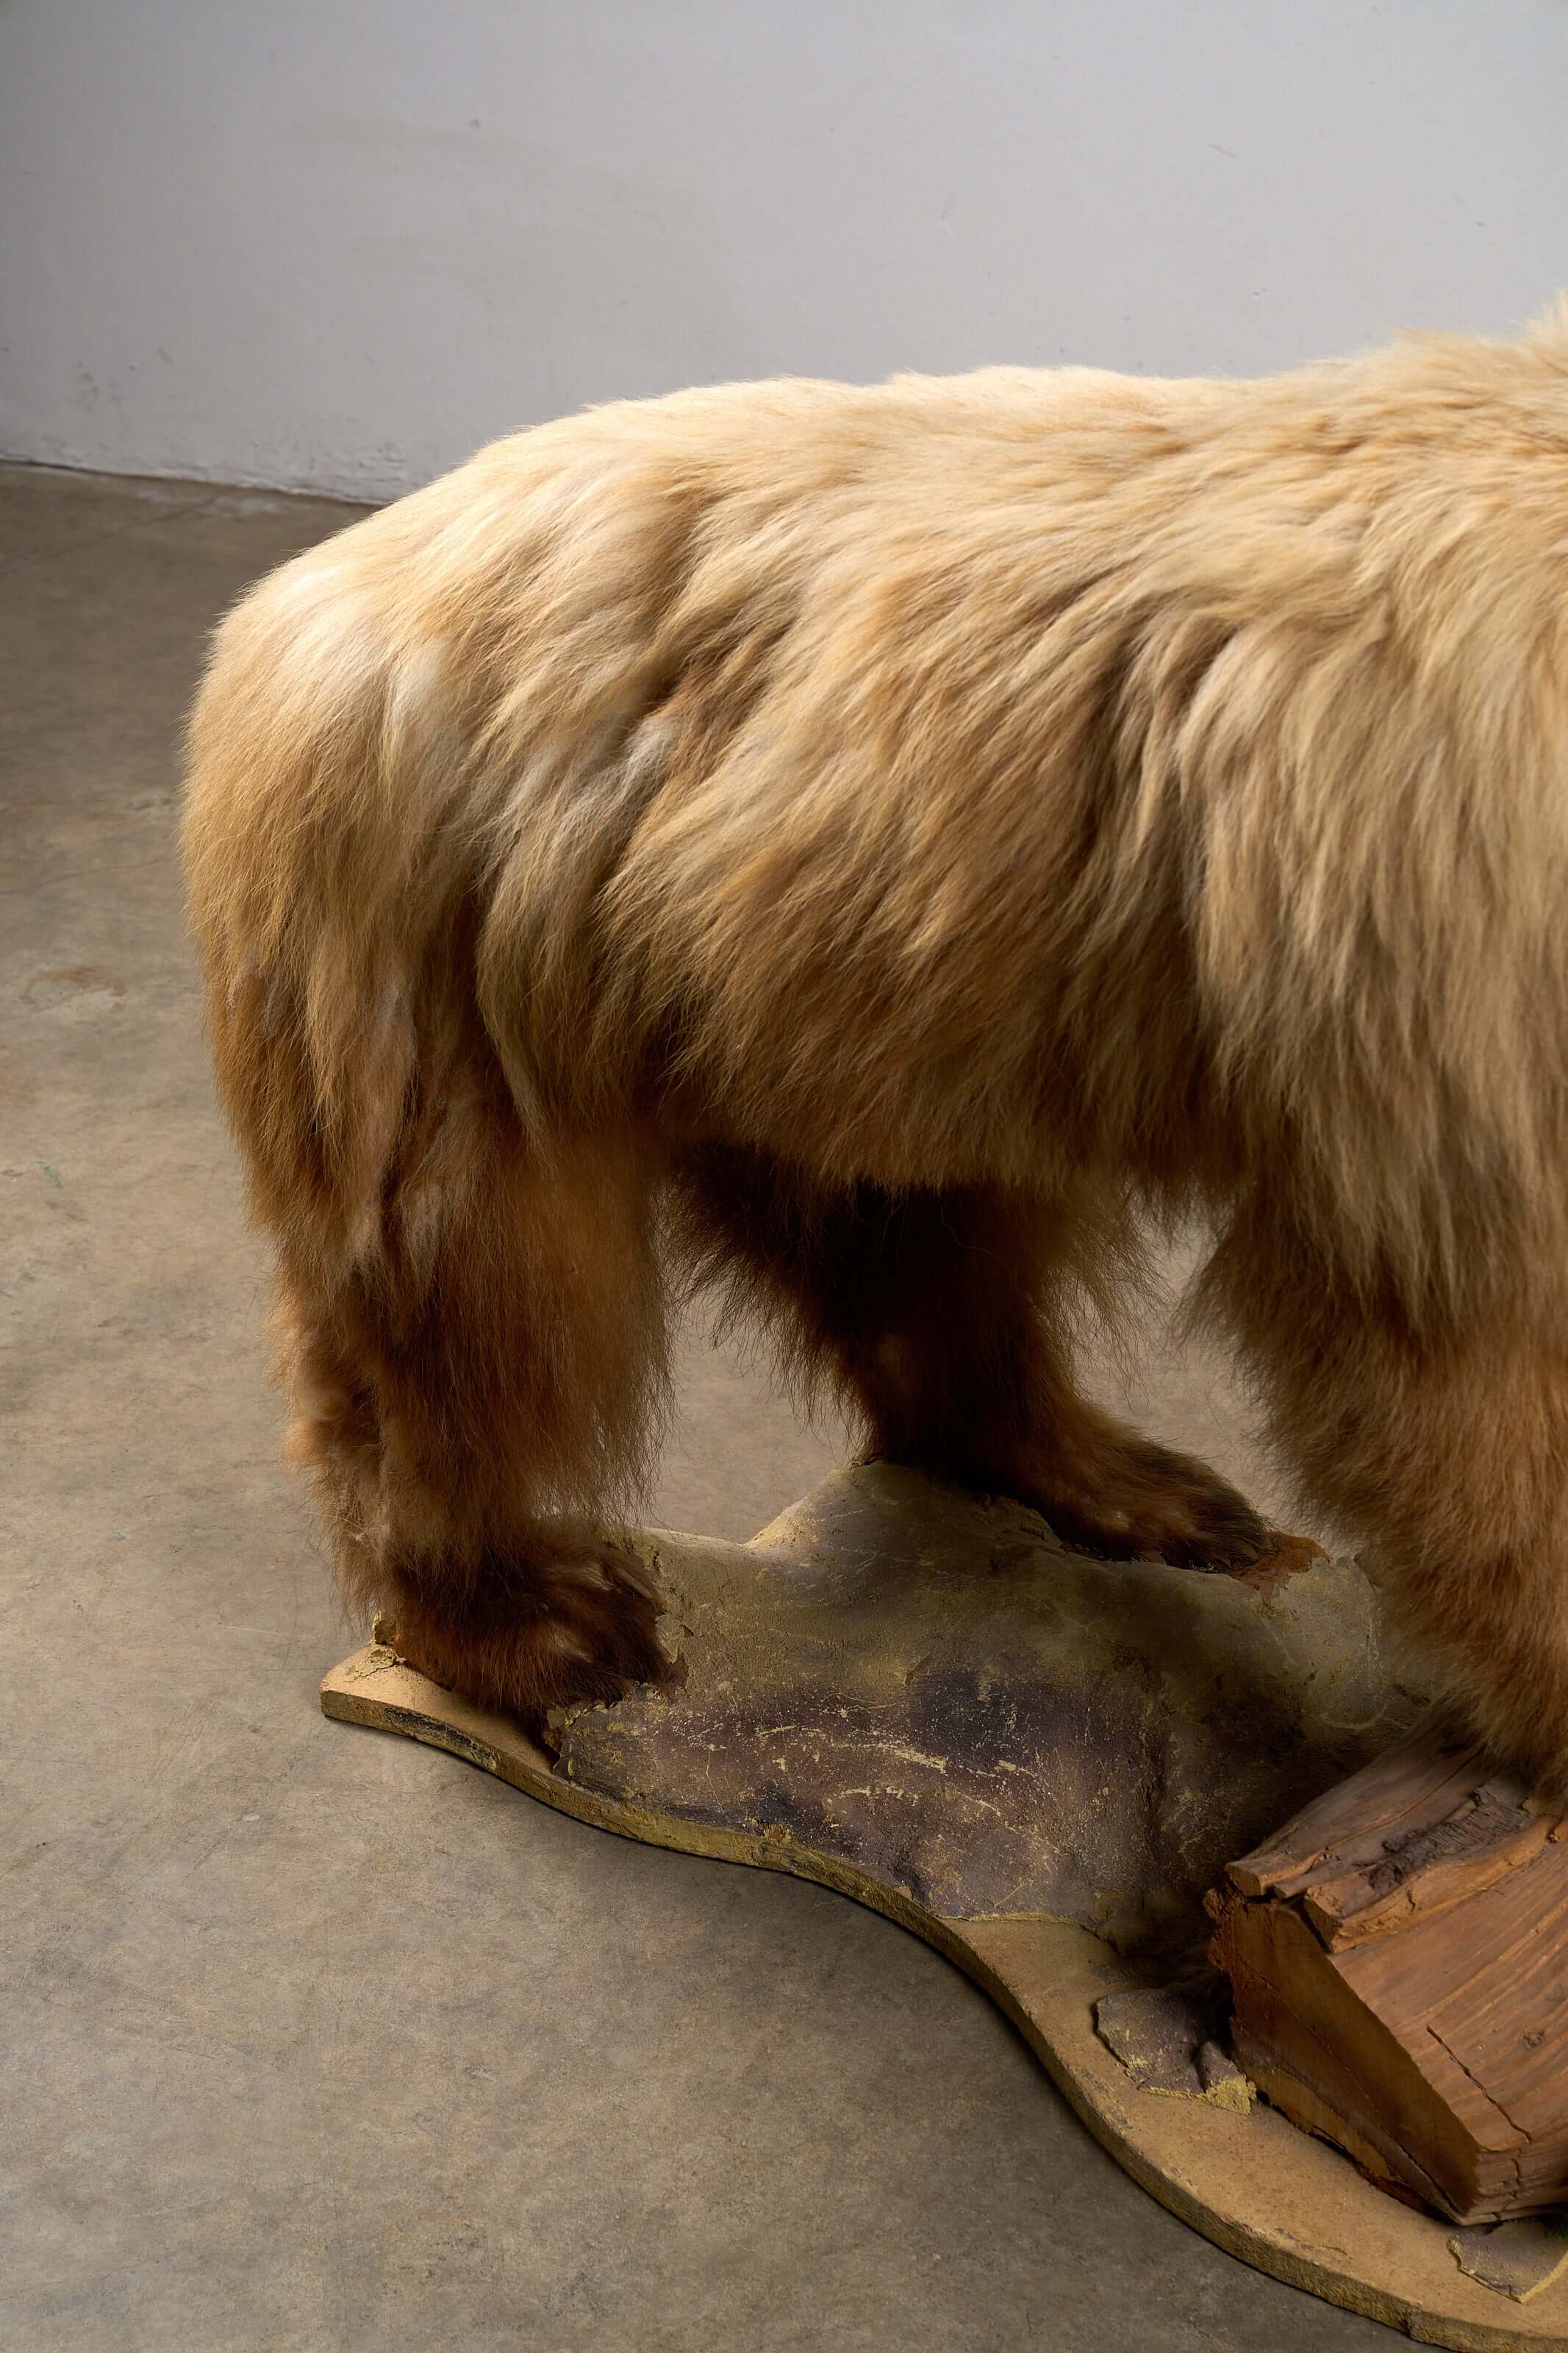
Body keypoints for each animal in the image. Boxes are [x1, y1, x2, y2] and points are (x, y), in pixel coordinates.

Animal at [183, 303, 1568, 1795]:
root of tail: (291, 595)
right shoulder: (1445, 932)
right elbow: (1443, 1331)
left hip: (850, 984)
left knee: (931, 1236)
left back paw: (1131, 1483)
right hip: (434, 944)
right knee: (485, 1302)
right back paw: (534, 1615)